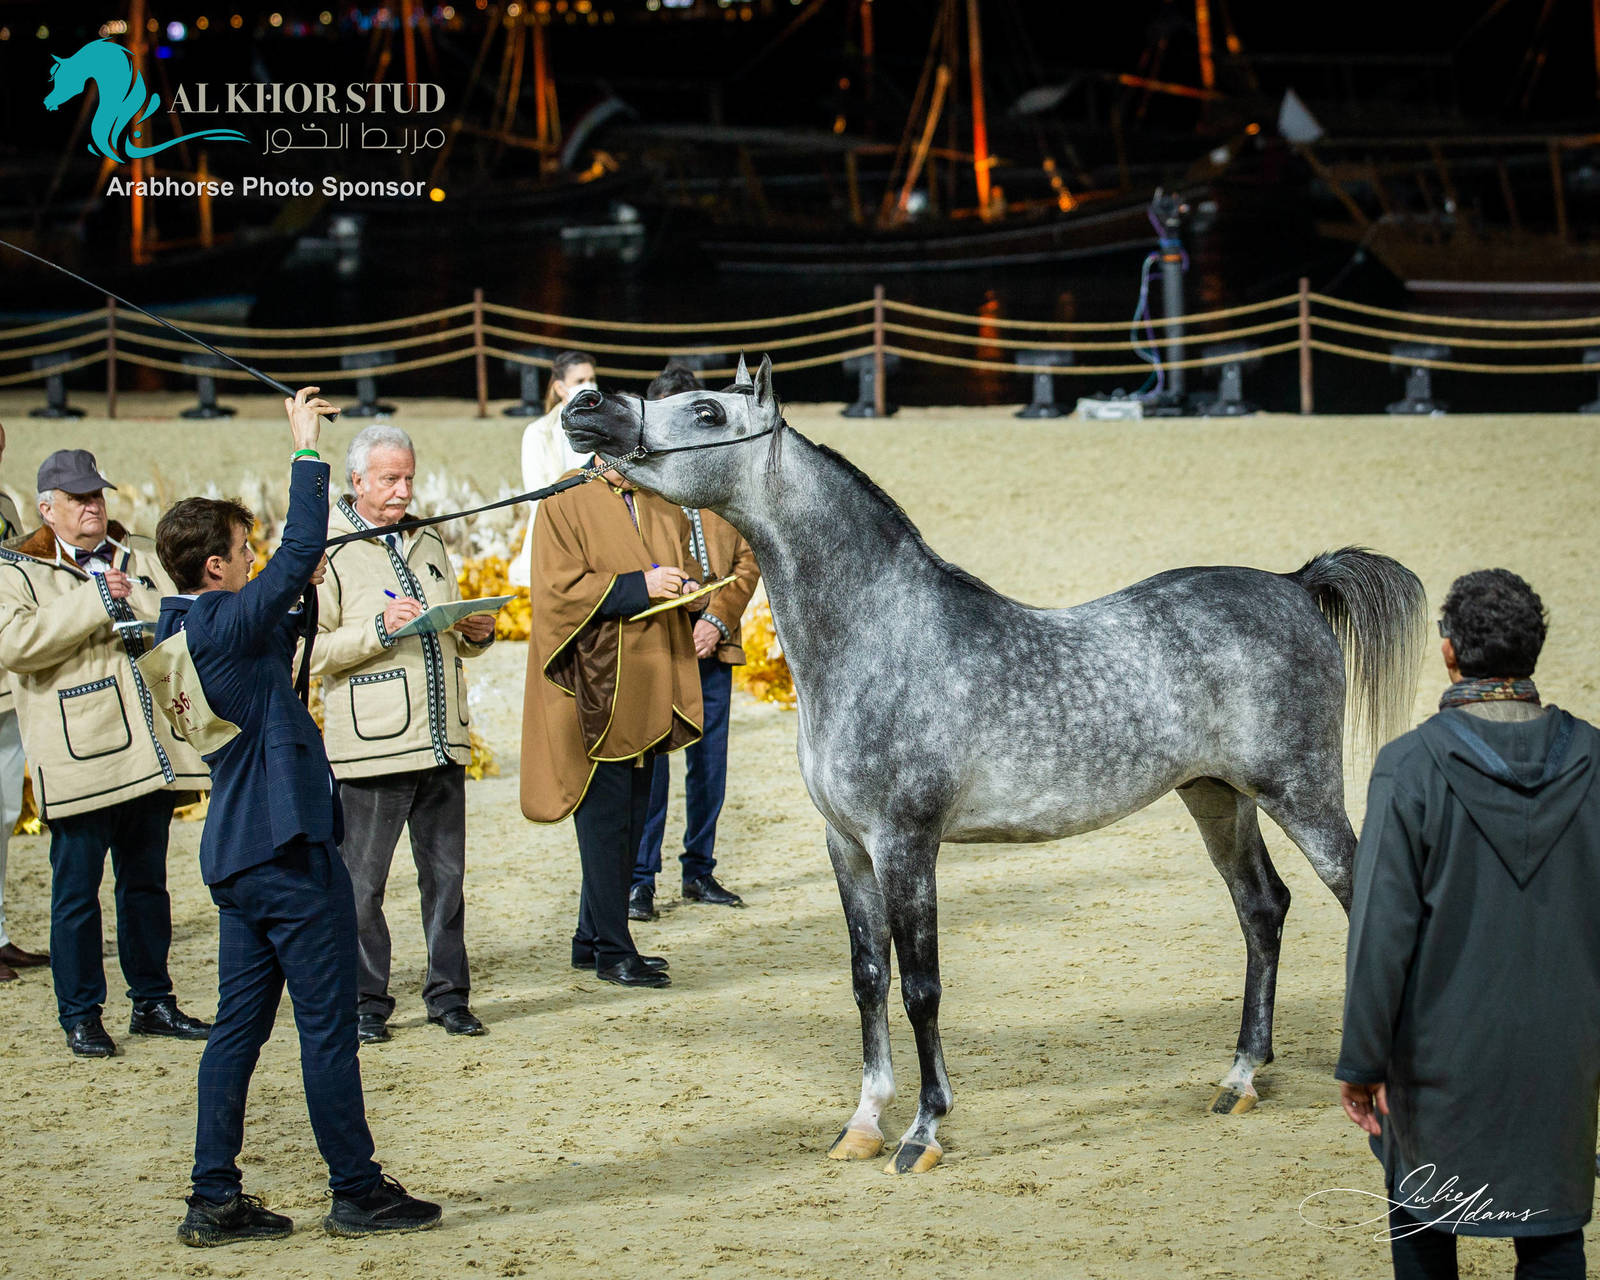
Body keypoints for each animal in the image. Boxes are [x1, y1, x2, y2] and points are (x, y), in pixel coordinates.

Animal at [561, 357, 1428, 1174]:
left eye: (708, 411)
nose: (587, 408)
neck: (883, 637)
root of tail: (1294, 585)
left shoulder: (907, 844)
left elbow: (921, 987)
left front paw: (922, 1131)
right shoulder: (847, 847)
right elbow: (867, 977)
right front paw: (863, 1124)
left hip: (1301, 792)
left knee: (1352, 898)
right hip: (1215, 796)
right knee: (1262, 908)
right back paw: (1241, 1077)